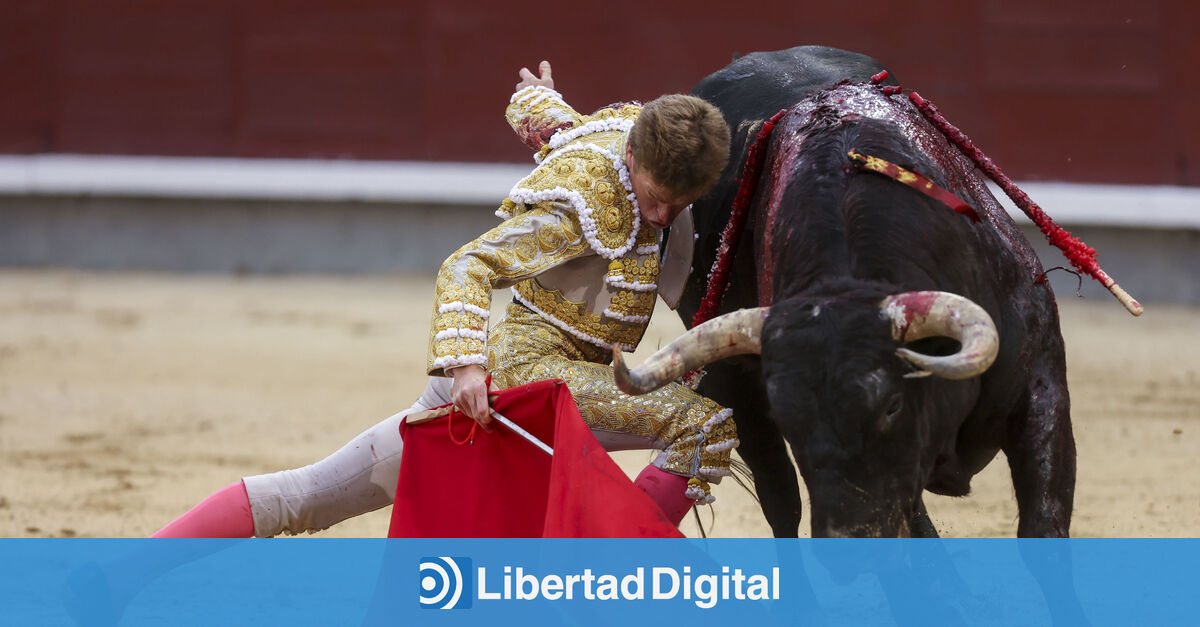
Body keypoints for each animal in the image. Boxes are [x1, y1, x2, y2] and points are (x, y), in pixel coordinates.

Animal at [619, 47, 1080, 535]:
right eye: (791, 419)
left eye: (892, 405)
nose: (846, 535)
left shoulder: (1042, 388)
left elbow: (1044, 519)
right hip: (731, 379)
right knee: (781, 496)